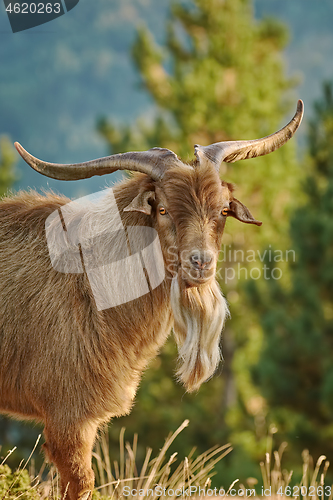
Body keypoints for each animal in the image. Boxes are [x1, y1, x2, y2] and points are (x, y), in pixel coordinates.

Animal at [0, 101, 302, 500]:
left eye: (223, 211)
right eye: (162, 209)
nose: (200, 262)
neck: (92, 282)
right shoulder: (68, 414)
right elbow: (80, 483)